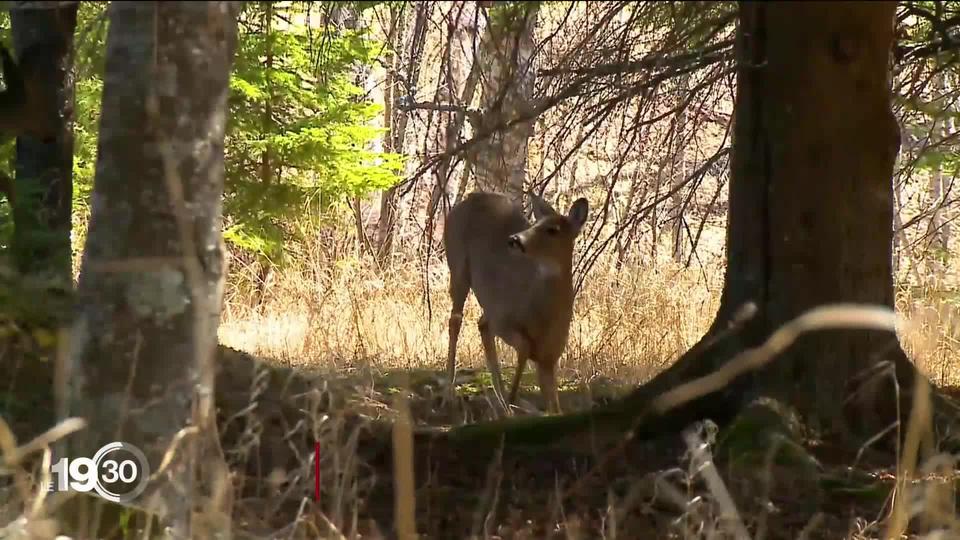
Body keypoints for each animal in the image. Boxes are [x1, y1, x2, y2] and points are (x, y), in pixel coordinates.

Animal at [444, 190, 592, 414]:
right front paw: (512, 397)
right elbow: (524, 346)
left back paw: (500, 399)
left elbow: (555, 408)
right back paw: (451, 393)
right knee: (456, 320)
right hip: (458, 264)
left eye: (553, 230)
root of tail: (472, 196)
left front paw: (510, 400)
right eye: (534, 224)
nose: (515, 239)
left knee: (480, 325)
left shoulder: (550, 359)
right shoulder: (503, 318)